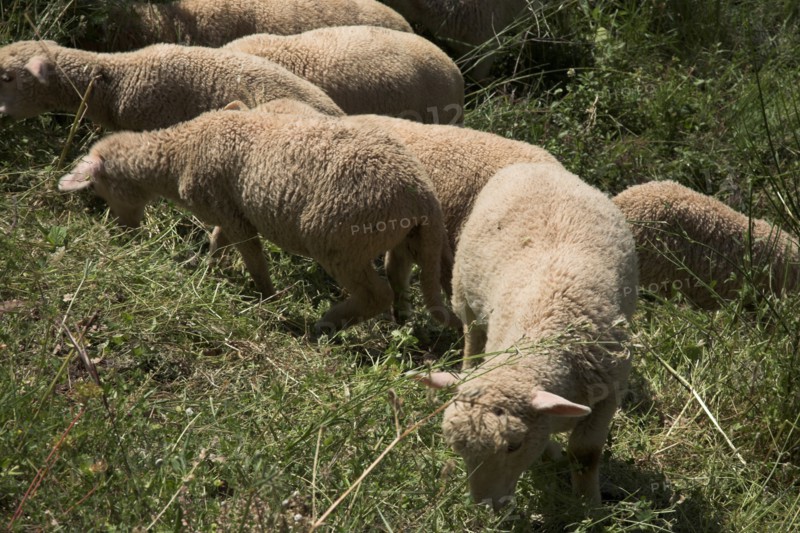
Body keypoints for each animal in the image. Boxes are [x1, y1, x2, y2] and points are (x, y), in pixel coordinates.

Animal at [57, 109, 460, 333]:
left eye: (100, 189)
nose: (122, 234)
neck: (179, 154)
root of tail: (421, 194)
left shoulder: (233, 214)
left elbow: (252, 258)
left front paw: (266, 297)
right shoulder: (228, 210)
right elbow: (218, 241)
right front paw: (208, 269)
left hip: (340, 239)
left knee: (377, 293)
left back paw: (326, 324)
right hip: (403, 239)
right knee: (399, 282)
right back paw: (399, 323)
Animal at [420, 162, 638, 509]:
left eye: (513, 445)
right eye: (458, 448)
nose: (486, 506)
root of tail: (531, 165)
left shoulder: (609, 393)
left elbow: (585, 456)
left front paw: (588, 506)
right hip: (464, 295)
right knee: (471, 338)